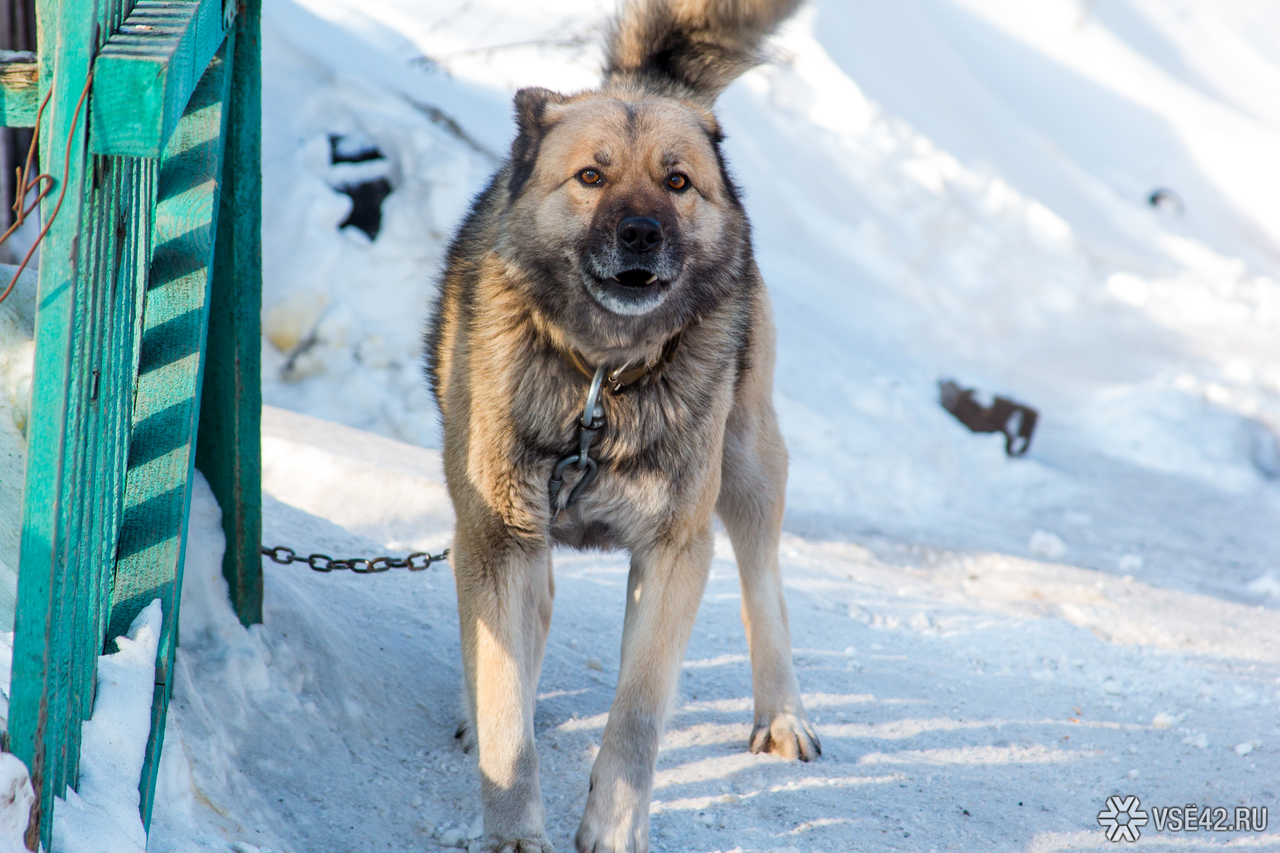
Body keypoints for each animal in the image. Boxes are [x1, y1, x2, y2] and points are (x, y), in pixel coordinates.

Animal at [424, 3, 814, 845]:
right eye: (591, 176)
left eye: (677, 181)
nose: (641, 231)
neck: (601, 382)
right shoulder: (498, 537)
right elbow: (506, 707)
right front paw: (513, 831)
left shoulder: (673, 551)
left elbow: (637, 715)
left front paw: (613, 827)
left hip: (747, 464)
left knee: (764, 584)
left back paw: (782, 713)